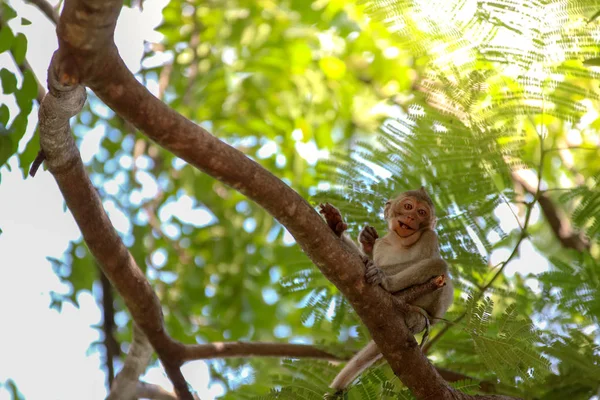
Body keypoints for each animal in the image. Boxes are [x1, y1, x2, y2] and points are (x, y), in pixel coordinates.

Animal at [318, 188, 450, 390]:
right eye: (408, 206)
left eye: (422, 212)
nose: (411, 217)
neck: (399, 241)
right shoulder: (382, 245)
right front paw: (336, 227)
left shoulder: (430, 236)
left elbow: (428, 259)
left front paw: (373, 262)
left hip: (434, 306)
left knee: (438, 264)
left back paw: (388, 284)